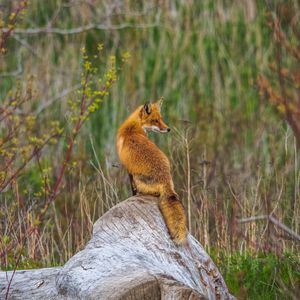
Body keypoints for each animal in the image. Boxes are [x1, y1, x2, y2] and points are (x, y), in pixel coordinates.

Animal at [115, 98, 188, 244]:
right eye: (155, 120)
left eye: (160, 119)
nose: (168, 129)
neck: (133, 129)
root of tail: (165, 180)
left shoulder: (129, 170)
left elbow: (132, 189)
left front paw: (133, 195)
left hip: (139, 179)